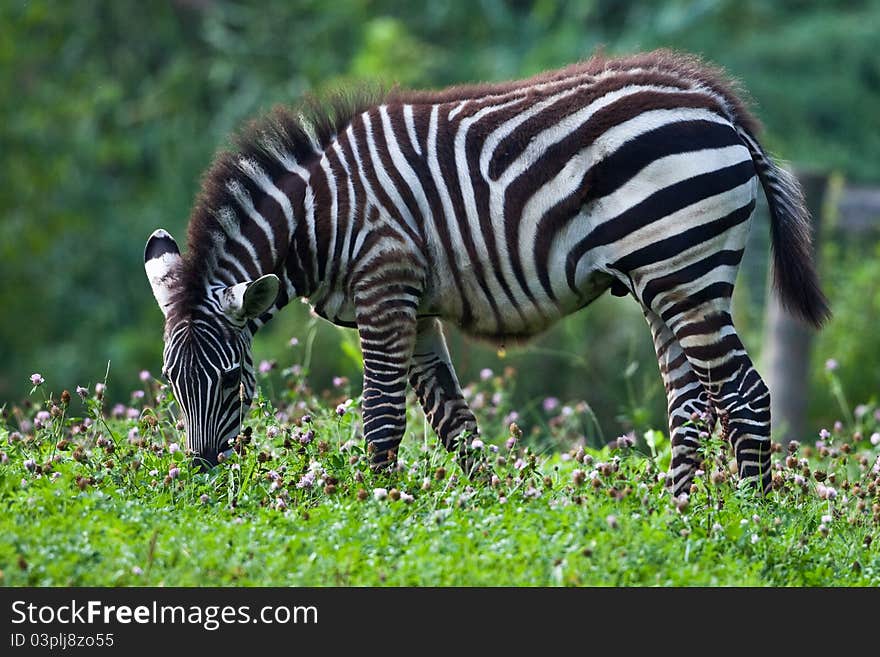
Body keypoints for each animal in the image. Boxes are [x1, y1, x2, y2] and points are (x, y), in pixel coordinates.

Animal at [146, 48, 832, 494]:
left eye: (232, 380)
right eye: (173, 383)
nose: (202, 478)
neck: (320, 216)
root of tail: (715, 101)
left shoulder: (384, 287)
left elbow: (383, 418)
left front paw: (372, 507)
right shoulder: (414, 306)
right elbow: (453, 422)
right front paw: (484, 508)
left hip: (686, 269)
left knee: (744, 394)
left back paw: (745, 519)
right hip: (665, 279)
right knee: (690, 401)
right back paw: (679, 517)